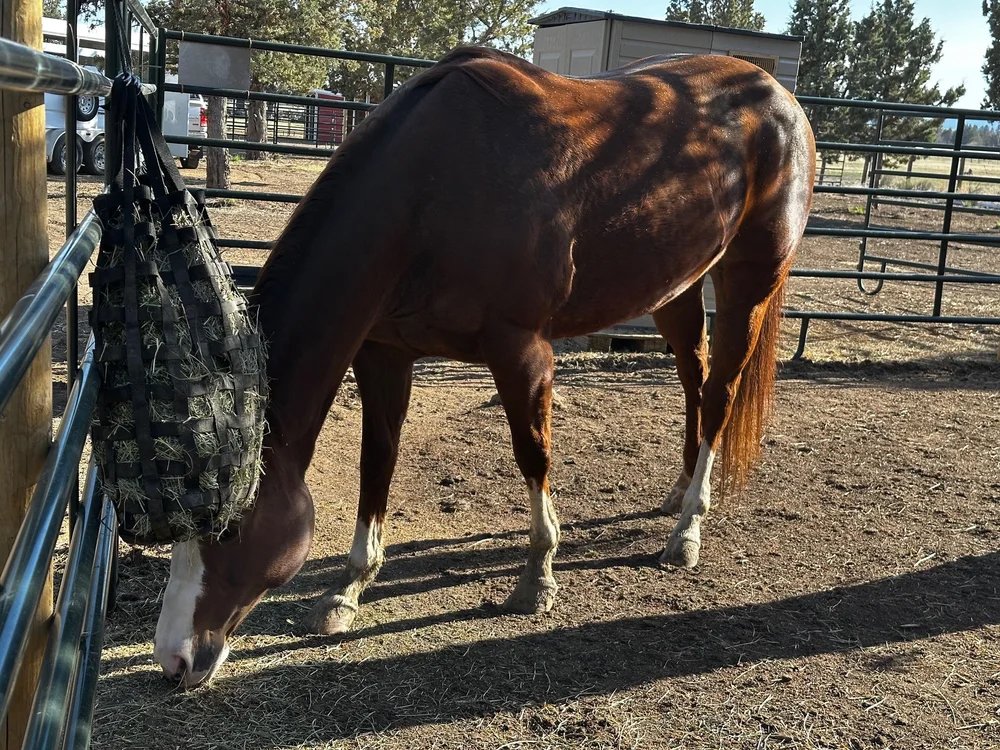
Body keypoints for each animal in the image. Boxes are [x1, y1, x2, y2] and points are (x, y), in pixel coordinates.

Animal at [152, 47, 815, 687]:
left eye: (231, 528)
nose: (173, 660)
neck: (429, 191)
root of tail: (777, 97)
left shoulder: (521, 351)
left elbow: (532, 455)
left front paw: (538, 578)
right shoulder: (383, 353)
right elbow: (378, 462)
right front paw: (348, 590)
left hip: (750, 279)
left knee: (721, 391)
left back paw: (686, 533)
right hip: (676, 288)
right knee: (692, 379)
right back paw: (677, 494)